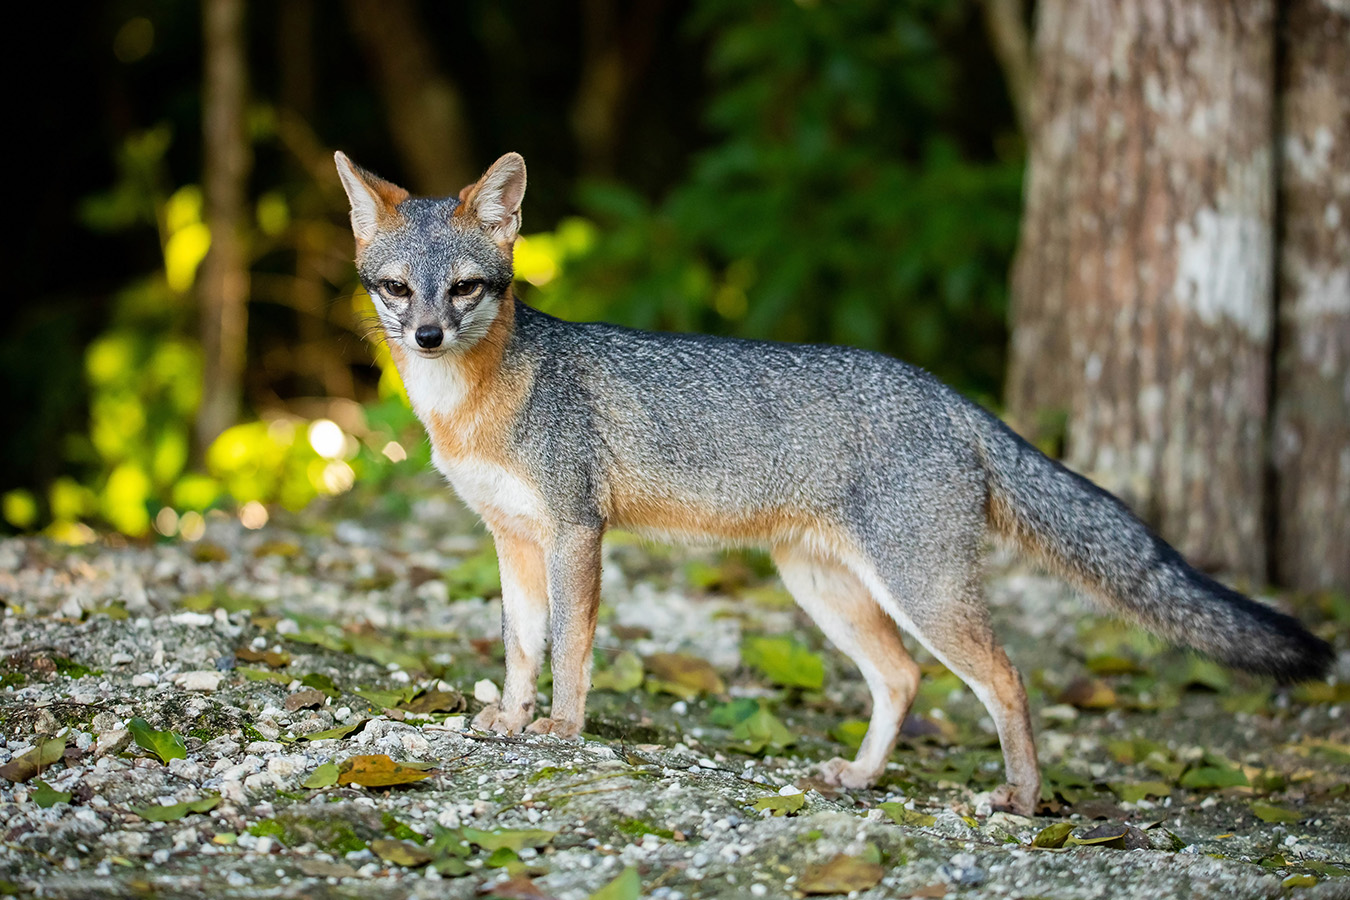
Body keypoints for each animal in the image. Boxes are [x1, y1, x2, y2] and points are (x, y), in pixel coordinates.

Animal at [335, 150, 1334, 816]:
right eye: (397, 289)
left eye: (466, 288)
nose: (426, 336)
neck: (476, 403)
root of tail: (950, 396)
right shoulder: (512, 538)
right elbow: (520, 646)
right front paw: (510, 718)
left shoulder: (577, 530)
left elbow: (572, 651)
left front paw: (564, 730)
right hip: (823, 588)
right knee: (901, 679)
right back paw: (862, 776)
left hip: (921, 589)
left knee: (1006, 679)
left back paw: (1020, 797)